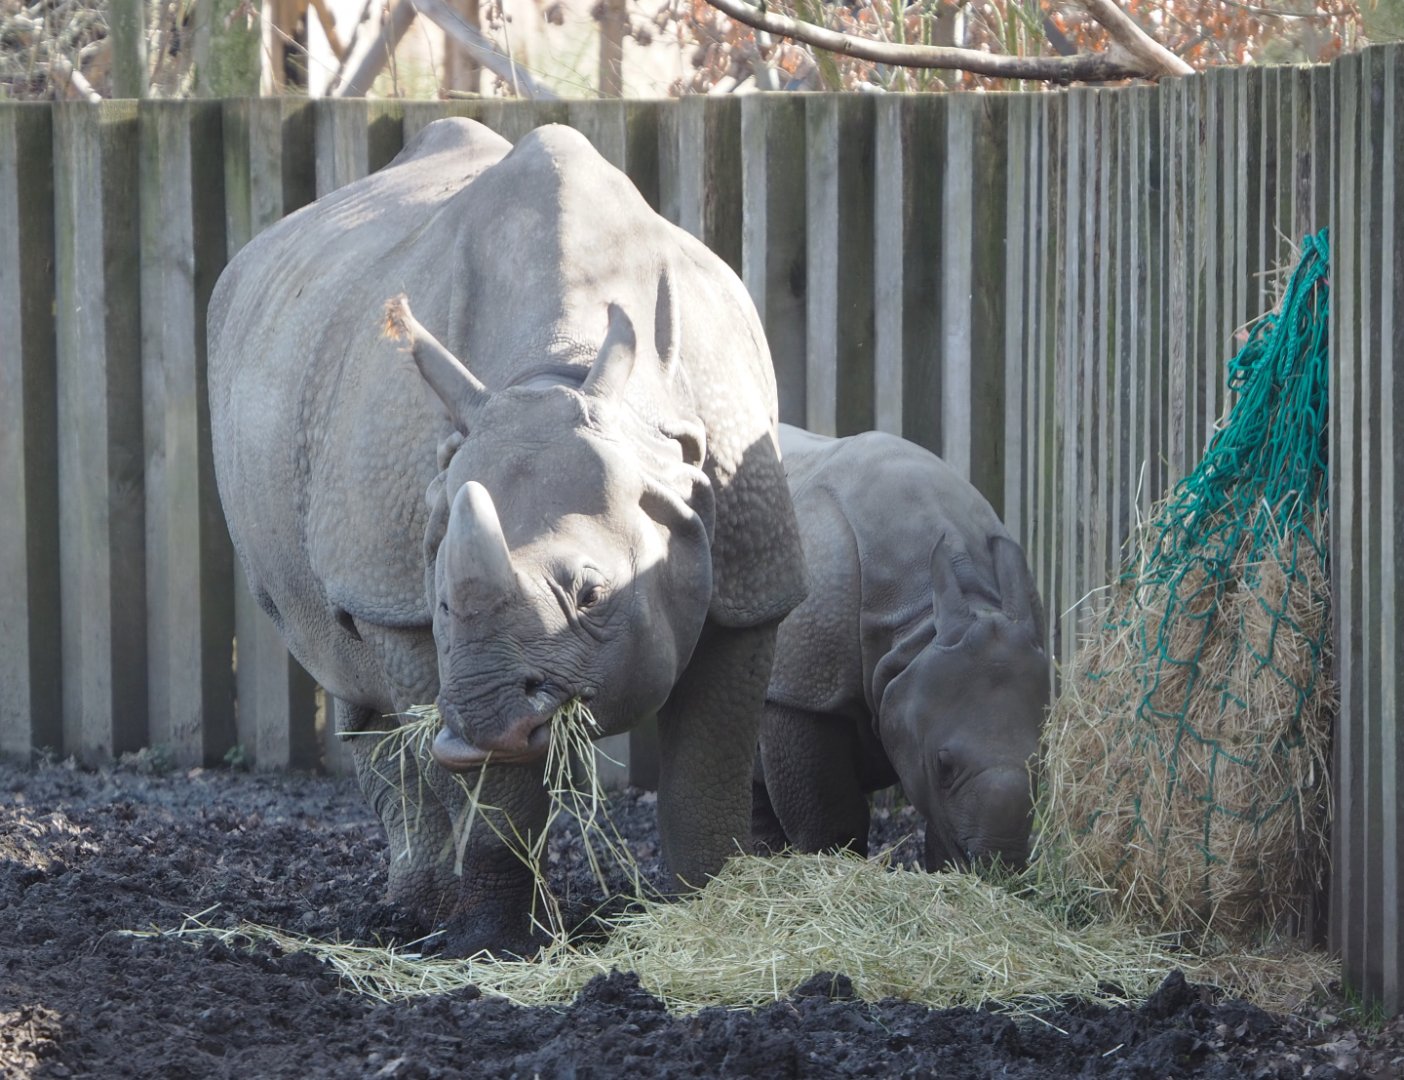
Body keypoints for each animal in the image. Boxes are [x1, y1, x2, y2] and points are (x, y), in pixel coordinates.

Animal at [207, 119, 807, 954]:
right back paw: (418, 913)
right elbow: (490, 791)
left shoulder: (752, 576)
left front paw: (706, 909)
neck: (559, 370)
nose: (492, 721)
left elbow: (708, 768)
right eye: (441, 602)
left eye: (592, 593)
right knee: (357, 683)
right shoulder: (406, 602)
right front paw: (493, 944)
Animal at [753, 425, 1049, 871]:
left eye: (1042, 764)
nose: (1000, 862)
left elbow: (941, 827)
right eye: (944, 766)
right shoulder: (804, 691)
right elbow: (829, 820)